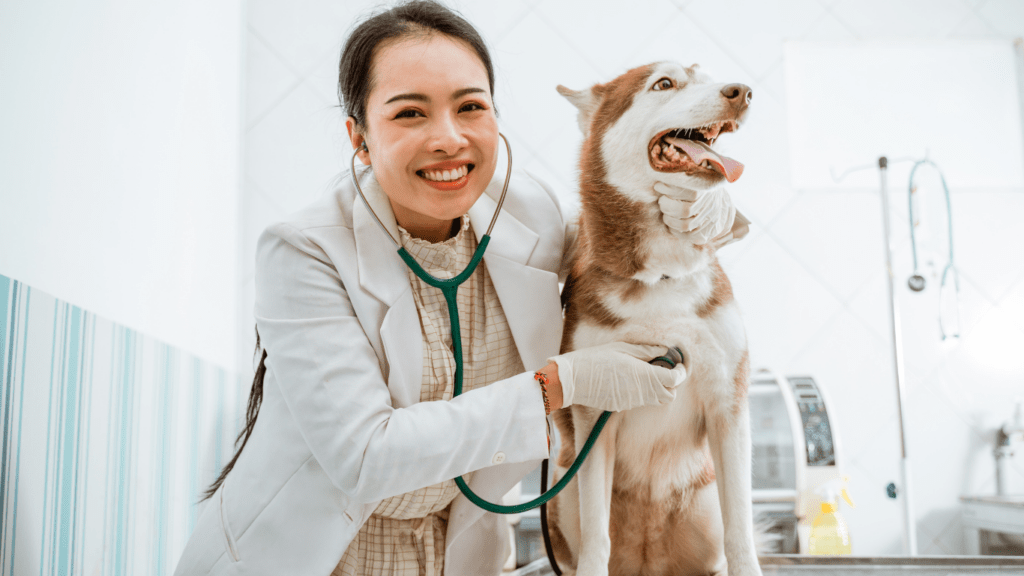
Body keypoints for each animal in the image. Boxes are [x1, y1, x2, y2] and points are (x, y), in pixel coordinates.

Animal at [548, 62, 765, 573]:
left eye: (705, 75)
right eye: (664, 84)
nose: (743, 91)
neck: (662, 277)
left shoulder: (728, 404)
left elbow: (741, 533)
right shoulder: (593, 414)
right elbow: (596, 540)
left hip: (703, 495)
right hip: (563, 488)